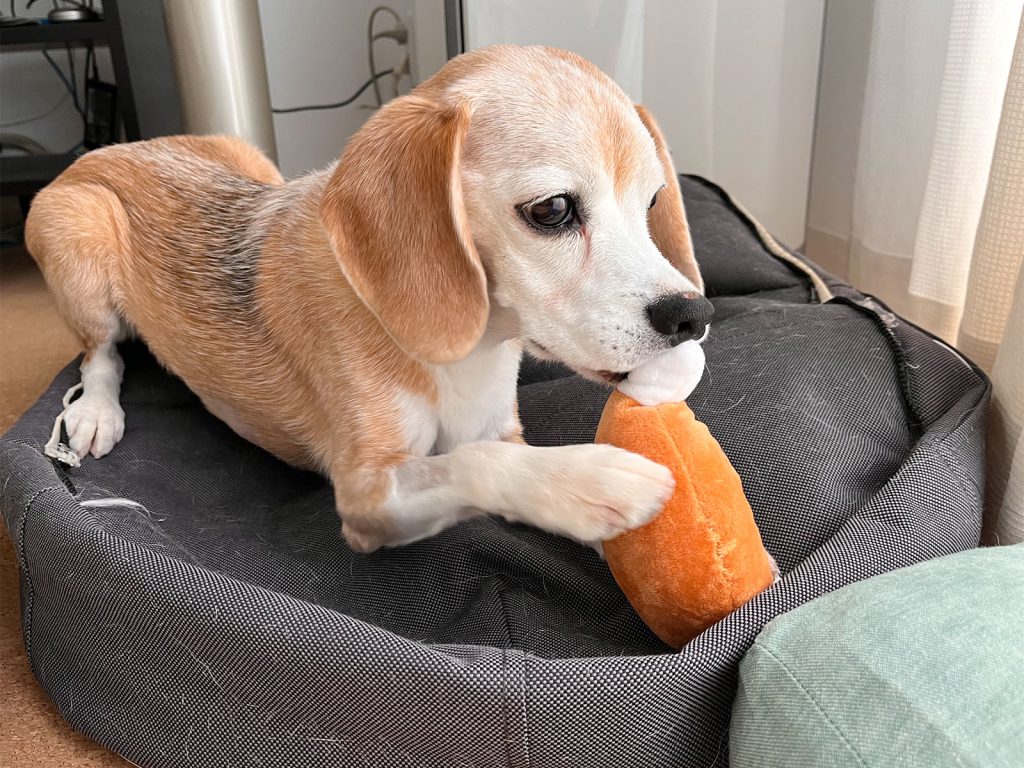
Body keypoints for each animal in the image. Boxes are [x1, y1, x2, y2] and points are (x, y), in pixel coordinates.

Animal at [24, 46, 712, 552]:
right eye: (552, 210)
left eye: (652, 203)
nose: (693, 316)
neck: (472, 349)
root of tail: (115, 146)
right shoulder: (366, 494)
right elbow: (477, 462)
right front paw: (593, 479)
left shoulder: (501, 429)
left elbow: (492, 452)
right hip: (78, 233)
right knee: (99, 356)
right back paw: (96, 413)